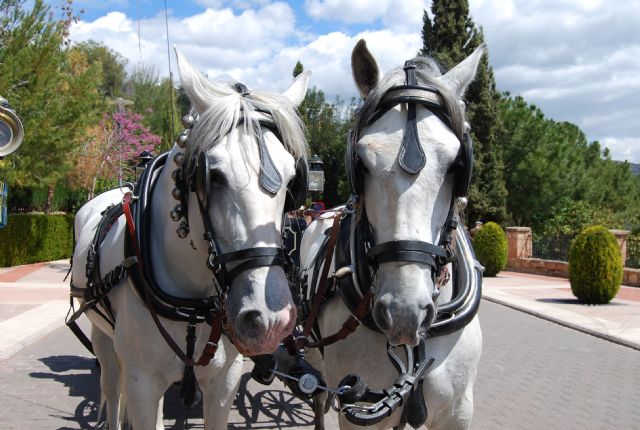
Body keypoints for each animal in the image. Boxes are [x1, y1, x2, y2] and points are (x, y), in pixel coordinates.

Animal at [69, 48, 308, 428]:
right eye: (214, 176)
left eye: (291, 181)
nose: (269, 321)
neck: (193, 302)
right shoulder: (142, 381)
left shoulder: (224, 379)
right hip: (103, 337)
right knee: (112, 385)